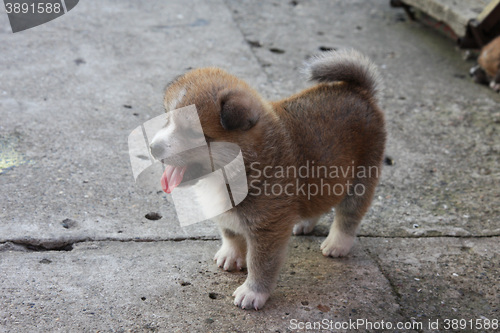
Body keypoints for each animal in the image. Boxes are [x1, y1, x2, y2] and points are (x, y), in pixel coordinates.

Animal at [148, 49, 386, 308]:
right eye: (167, 119)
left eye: (193, 133)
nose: (153, 148)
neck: (242, 165)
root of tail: (358, 90)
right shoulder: (229, 213)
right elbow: (230, 233)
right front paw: (231, 254)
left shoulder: (268, 229)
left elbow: (260, 264)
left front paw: (253, 292)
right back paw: (305, 222)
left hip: (362, 178)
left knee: (348, 215)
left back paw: (337, 243)